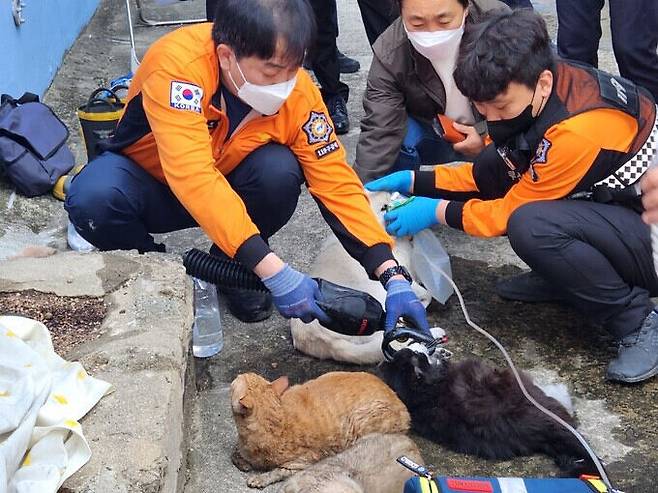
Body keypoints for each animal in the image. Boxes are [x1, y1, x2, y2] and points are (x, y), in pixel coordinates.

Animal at [228, 370, 408, 486]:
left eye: (236, 380)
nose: (237, 374)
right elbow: (235, 451)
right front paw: (242, 460)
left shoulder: (303, 462)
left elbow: (279, 471)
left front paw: (260, 478)